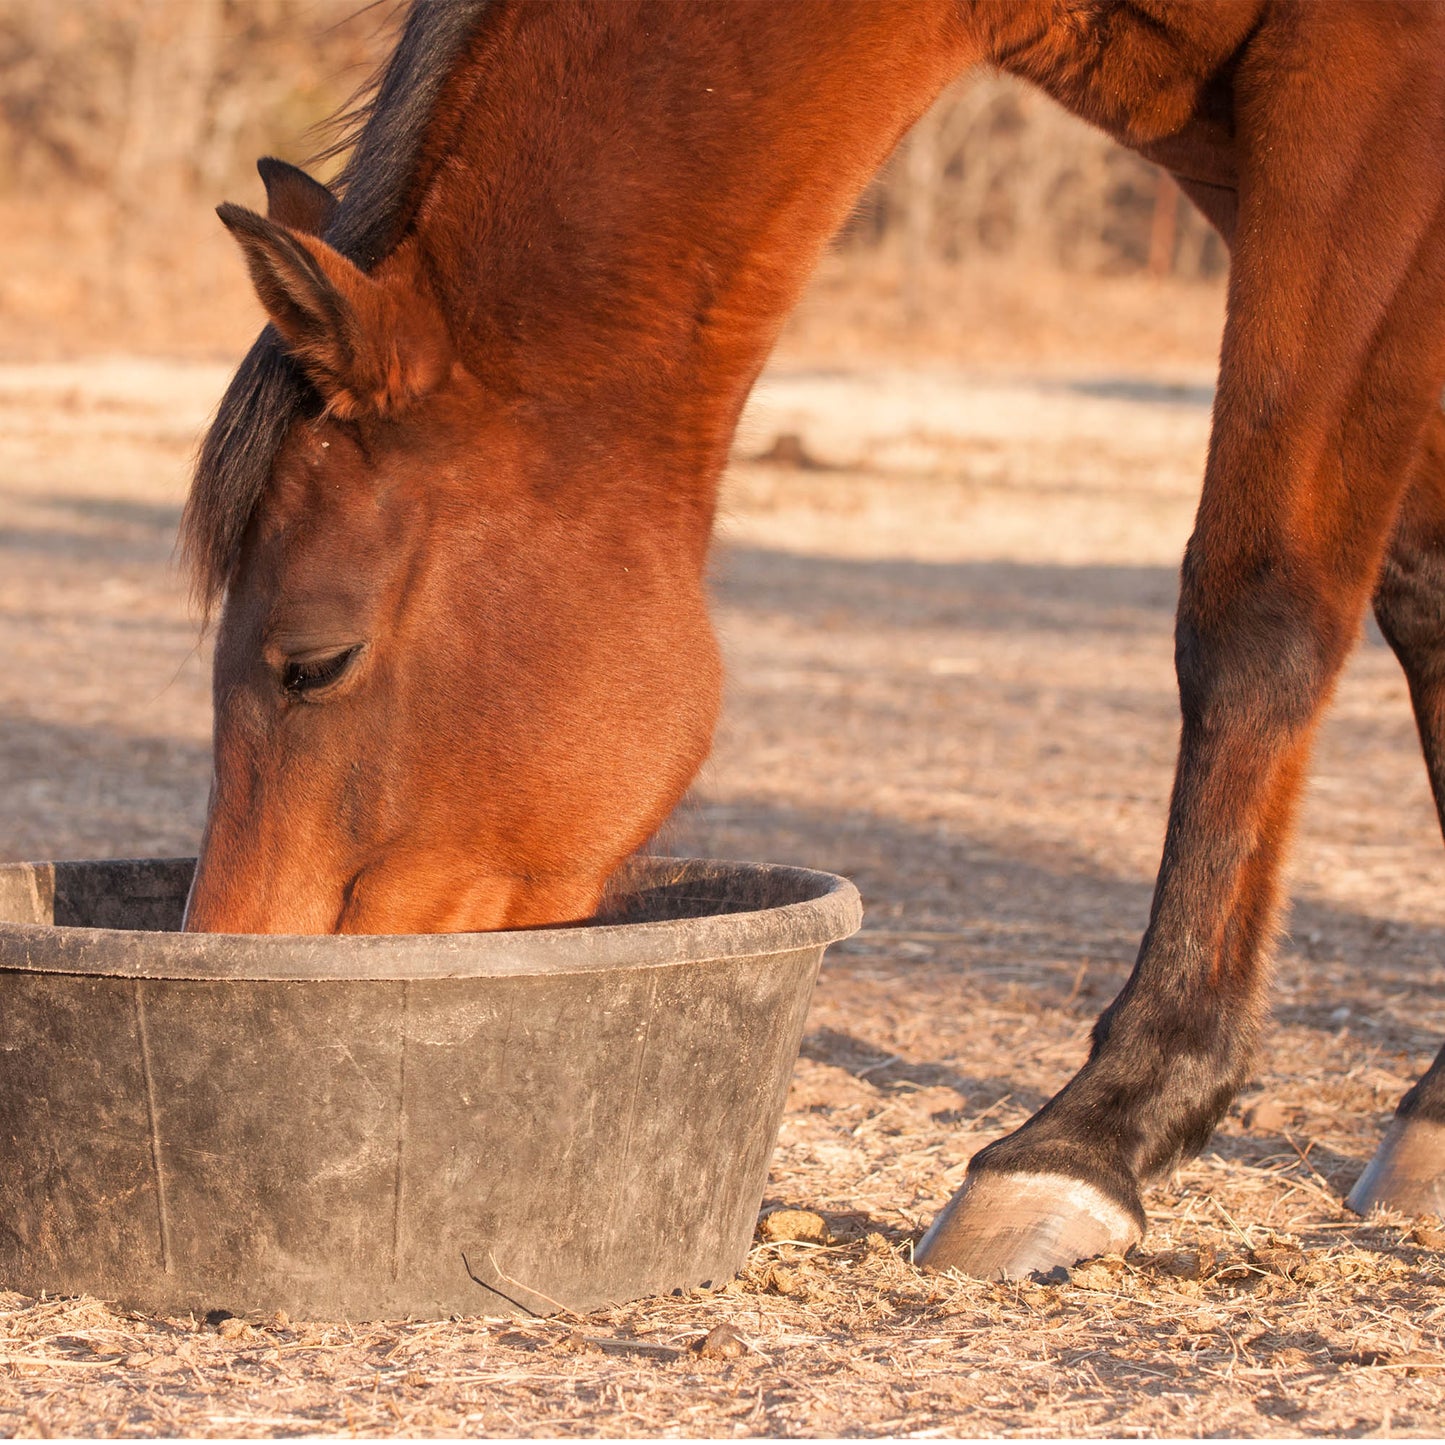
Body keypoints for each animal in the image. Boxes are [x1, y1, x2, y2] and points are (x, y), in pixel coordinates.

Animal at [183, 5, 1445, 1283]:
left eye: (313, 661)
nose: (237, 958)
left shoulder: (1363, 107)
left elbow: (1257, 610)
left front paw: (1098, 1127)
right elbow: (1424, 597)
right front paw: (1432, 1114)